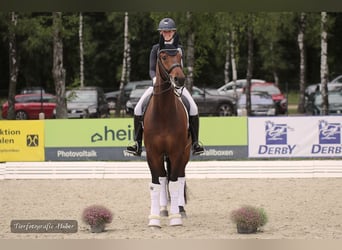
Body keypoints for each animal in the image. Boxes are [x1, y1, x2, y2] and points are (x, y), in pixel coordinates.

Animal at [144, 40, 192, 227]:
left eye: (179, 56)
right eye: (163, 57)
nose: (180, 79)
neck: (163, 112)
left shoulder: (177, 152)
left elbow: (174, 183)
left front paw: (176, 218)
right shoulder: (152, 153)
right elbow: (156, 184)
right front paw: (154, 220)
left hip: (185, 152)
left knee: (180, 177)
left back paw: (180, 210)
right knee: (164, 177)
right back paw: (164, 209)